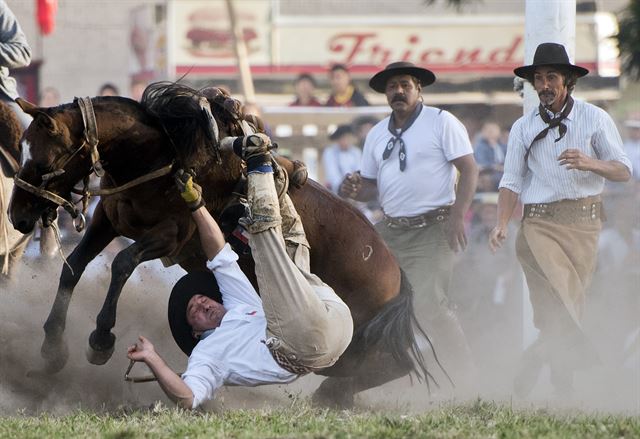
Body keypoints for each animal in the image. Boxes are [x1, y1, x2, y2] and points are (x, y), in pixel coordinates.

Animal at [7, 84, 442, 408]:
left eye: (43, 162)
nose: (17, 217)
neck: (161, 157)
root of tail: (393, 268)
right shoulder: (107, 222)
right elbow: (73, 268)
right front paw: (52, 351)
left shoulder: (169, 235)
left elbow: (122, 264)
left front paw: (100, 340)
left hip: (349, 336)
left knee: (387, 365)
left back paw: (333, 394)